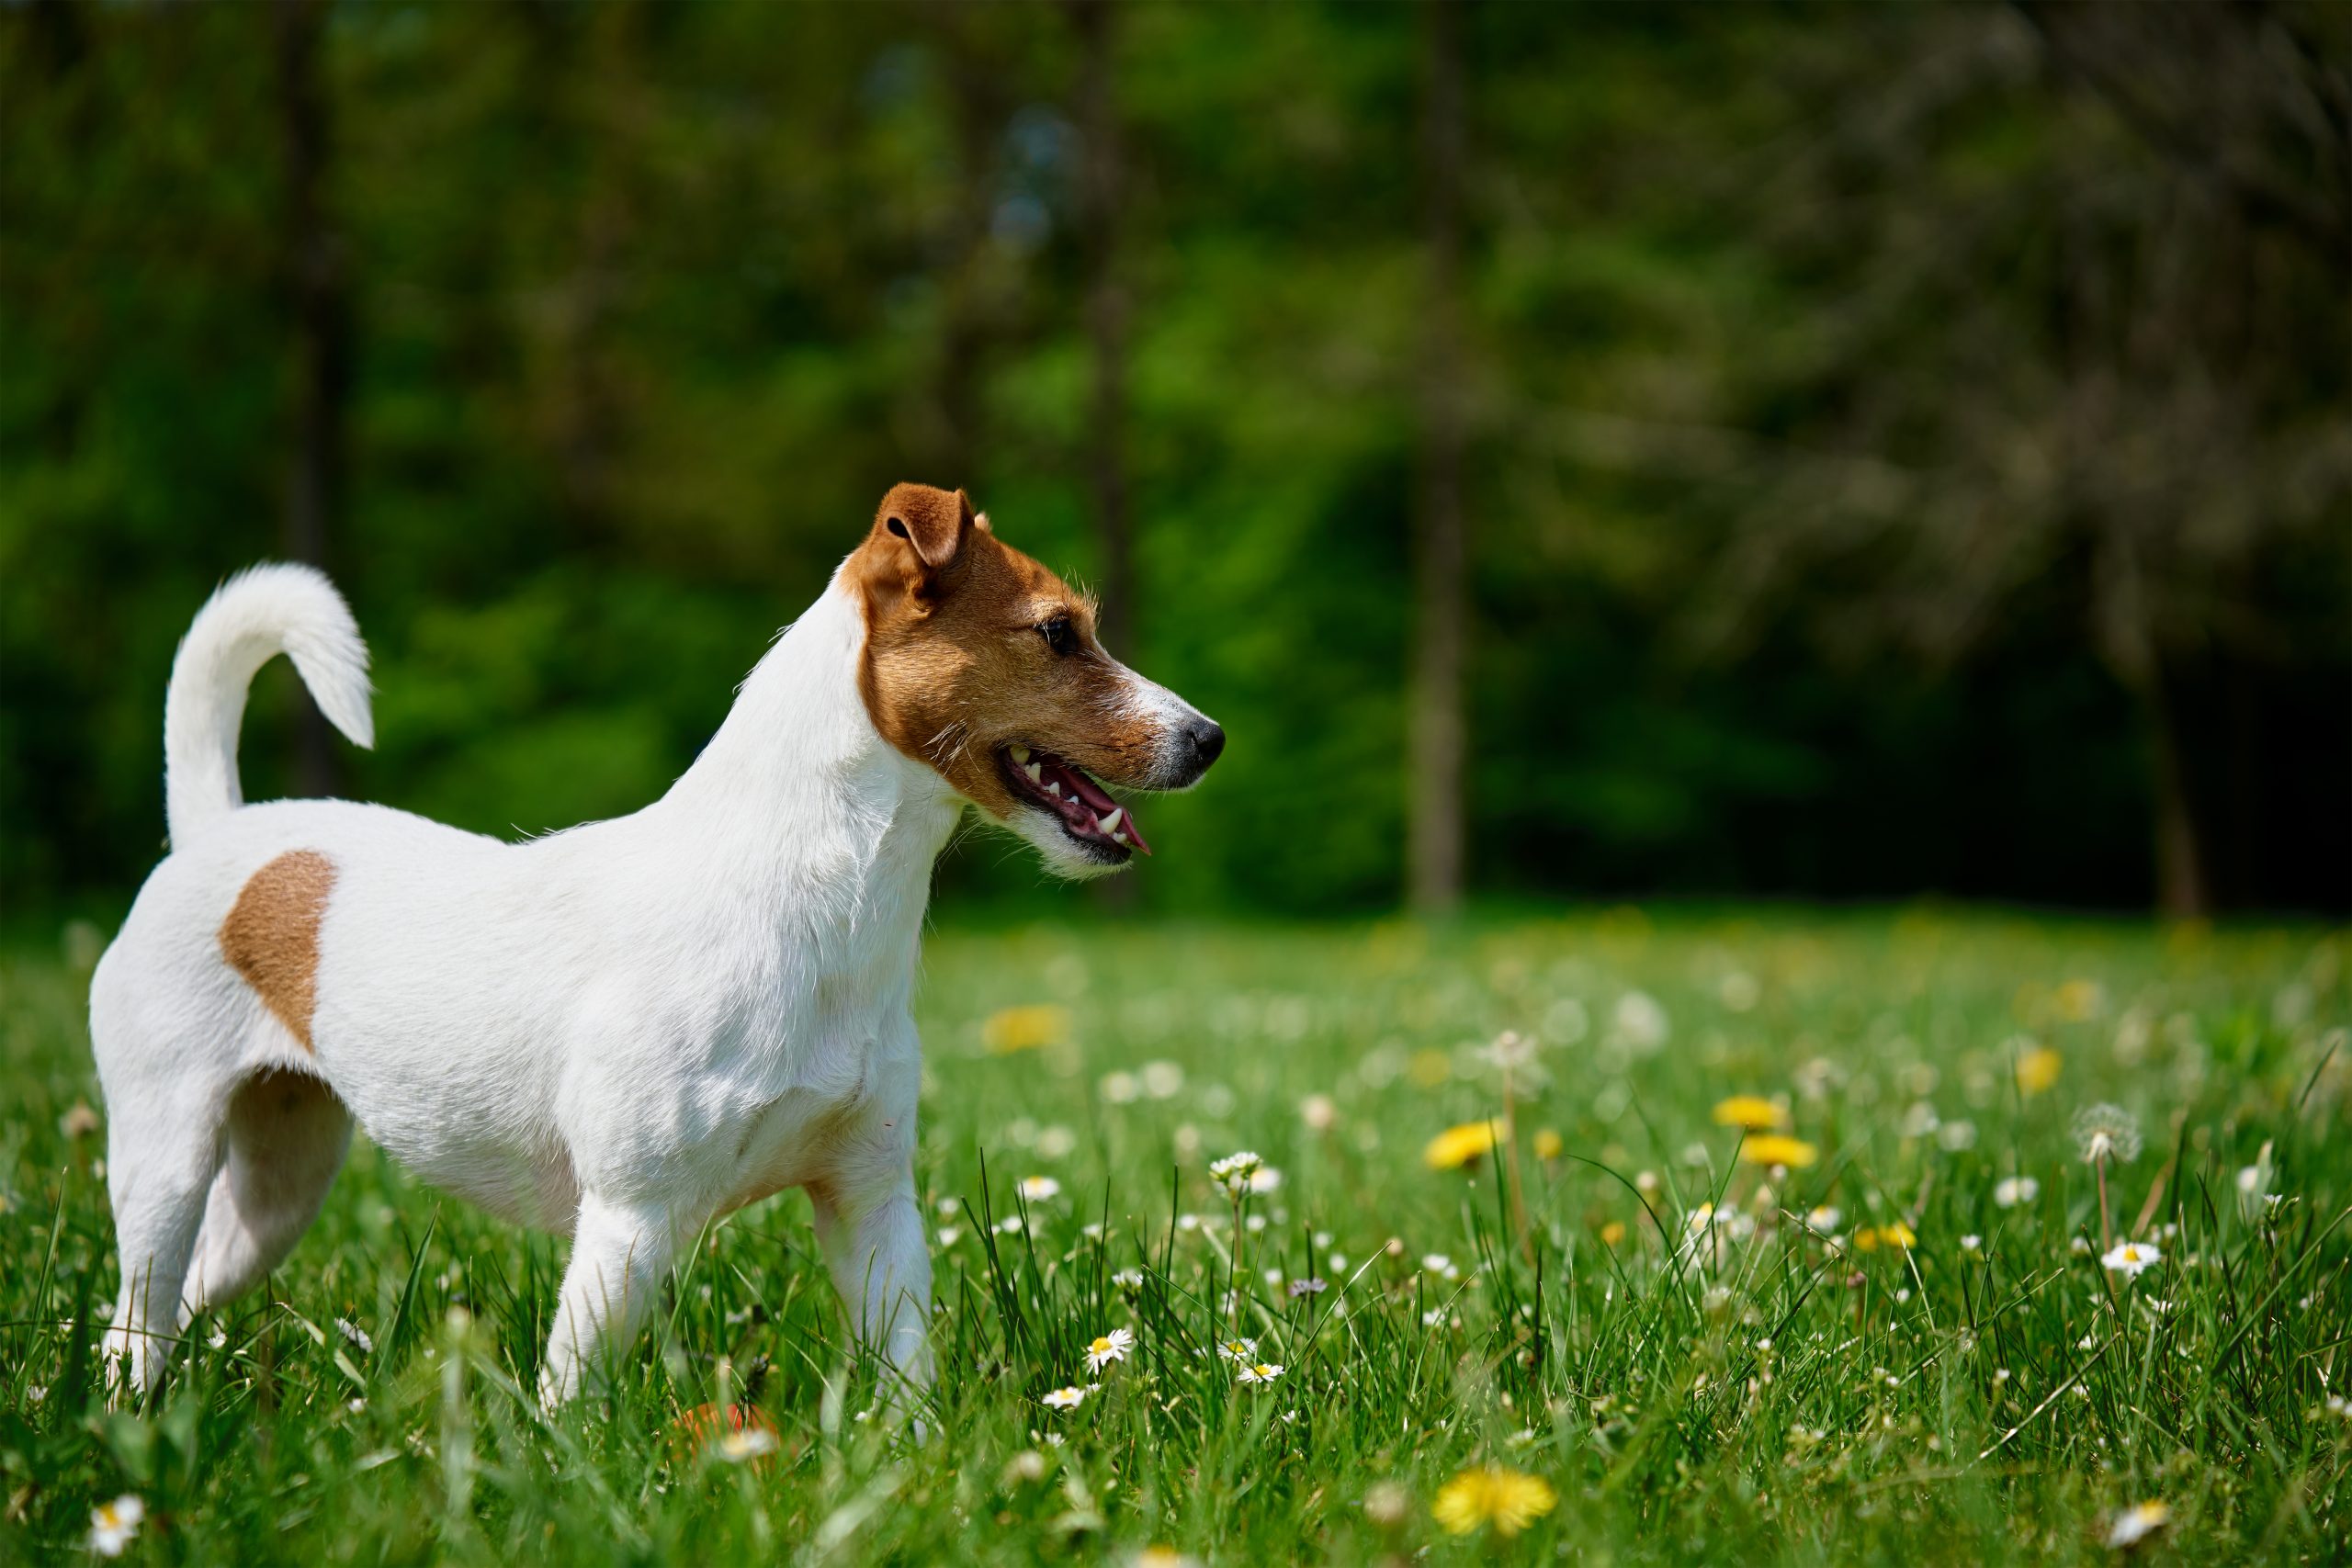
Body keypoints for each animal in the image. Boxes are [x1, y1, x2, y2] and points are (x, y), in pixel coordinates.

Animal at [86, 484, 1232, 1401]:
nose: (1210, 738)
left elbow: (904, 1372)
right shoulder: (628, 1222)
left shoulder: (871, 1204)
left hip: (279, 1183)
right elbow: (569, 1401)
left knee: (179, 1299)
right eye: (1057, 634)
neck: (808, 911)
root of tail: (215, 831)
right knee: (138, 1305)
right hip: (166, 1154)